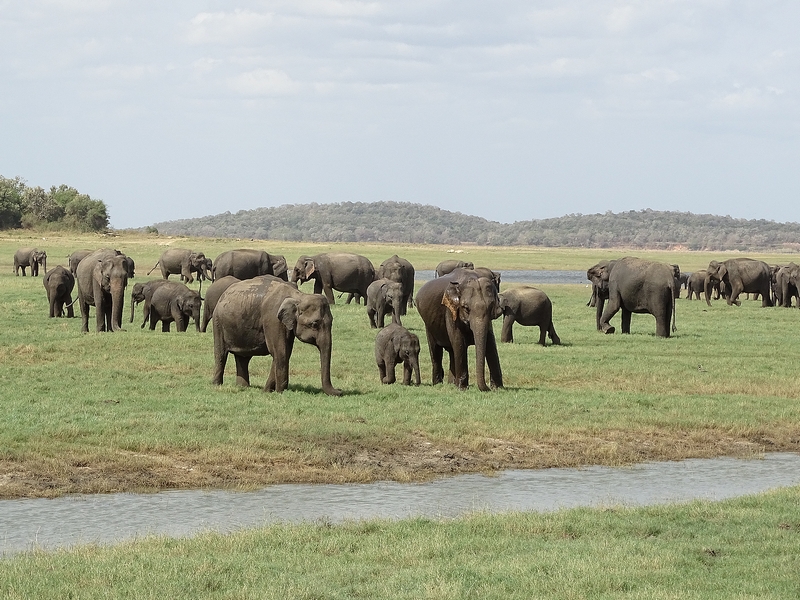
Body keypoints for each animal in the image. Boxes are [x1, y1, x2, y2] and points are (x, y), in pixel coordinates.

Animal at [212, 275, 341, 396]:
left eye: (332, 322)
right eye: (314, 324)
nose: (340, 391)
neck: (298, 296)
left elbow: (284, 352)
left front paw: (267, 391)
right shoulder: (272, 319)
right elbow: (280, 351)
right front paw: (279, 392)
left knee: (243, 357)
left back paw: (243, 387)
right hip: (218, 323)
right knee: (221, 354)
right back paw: (217, 385)